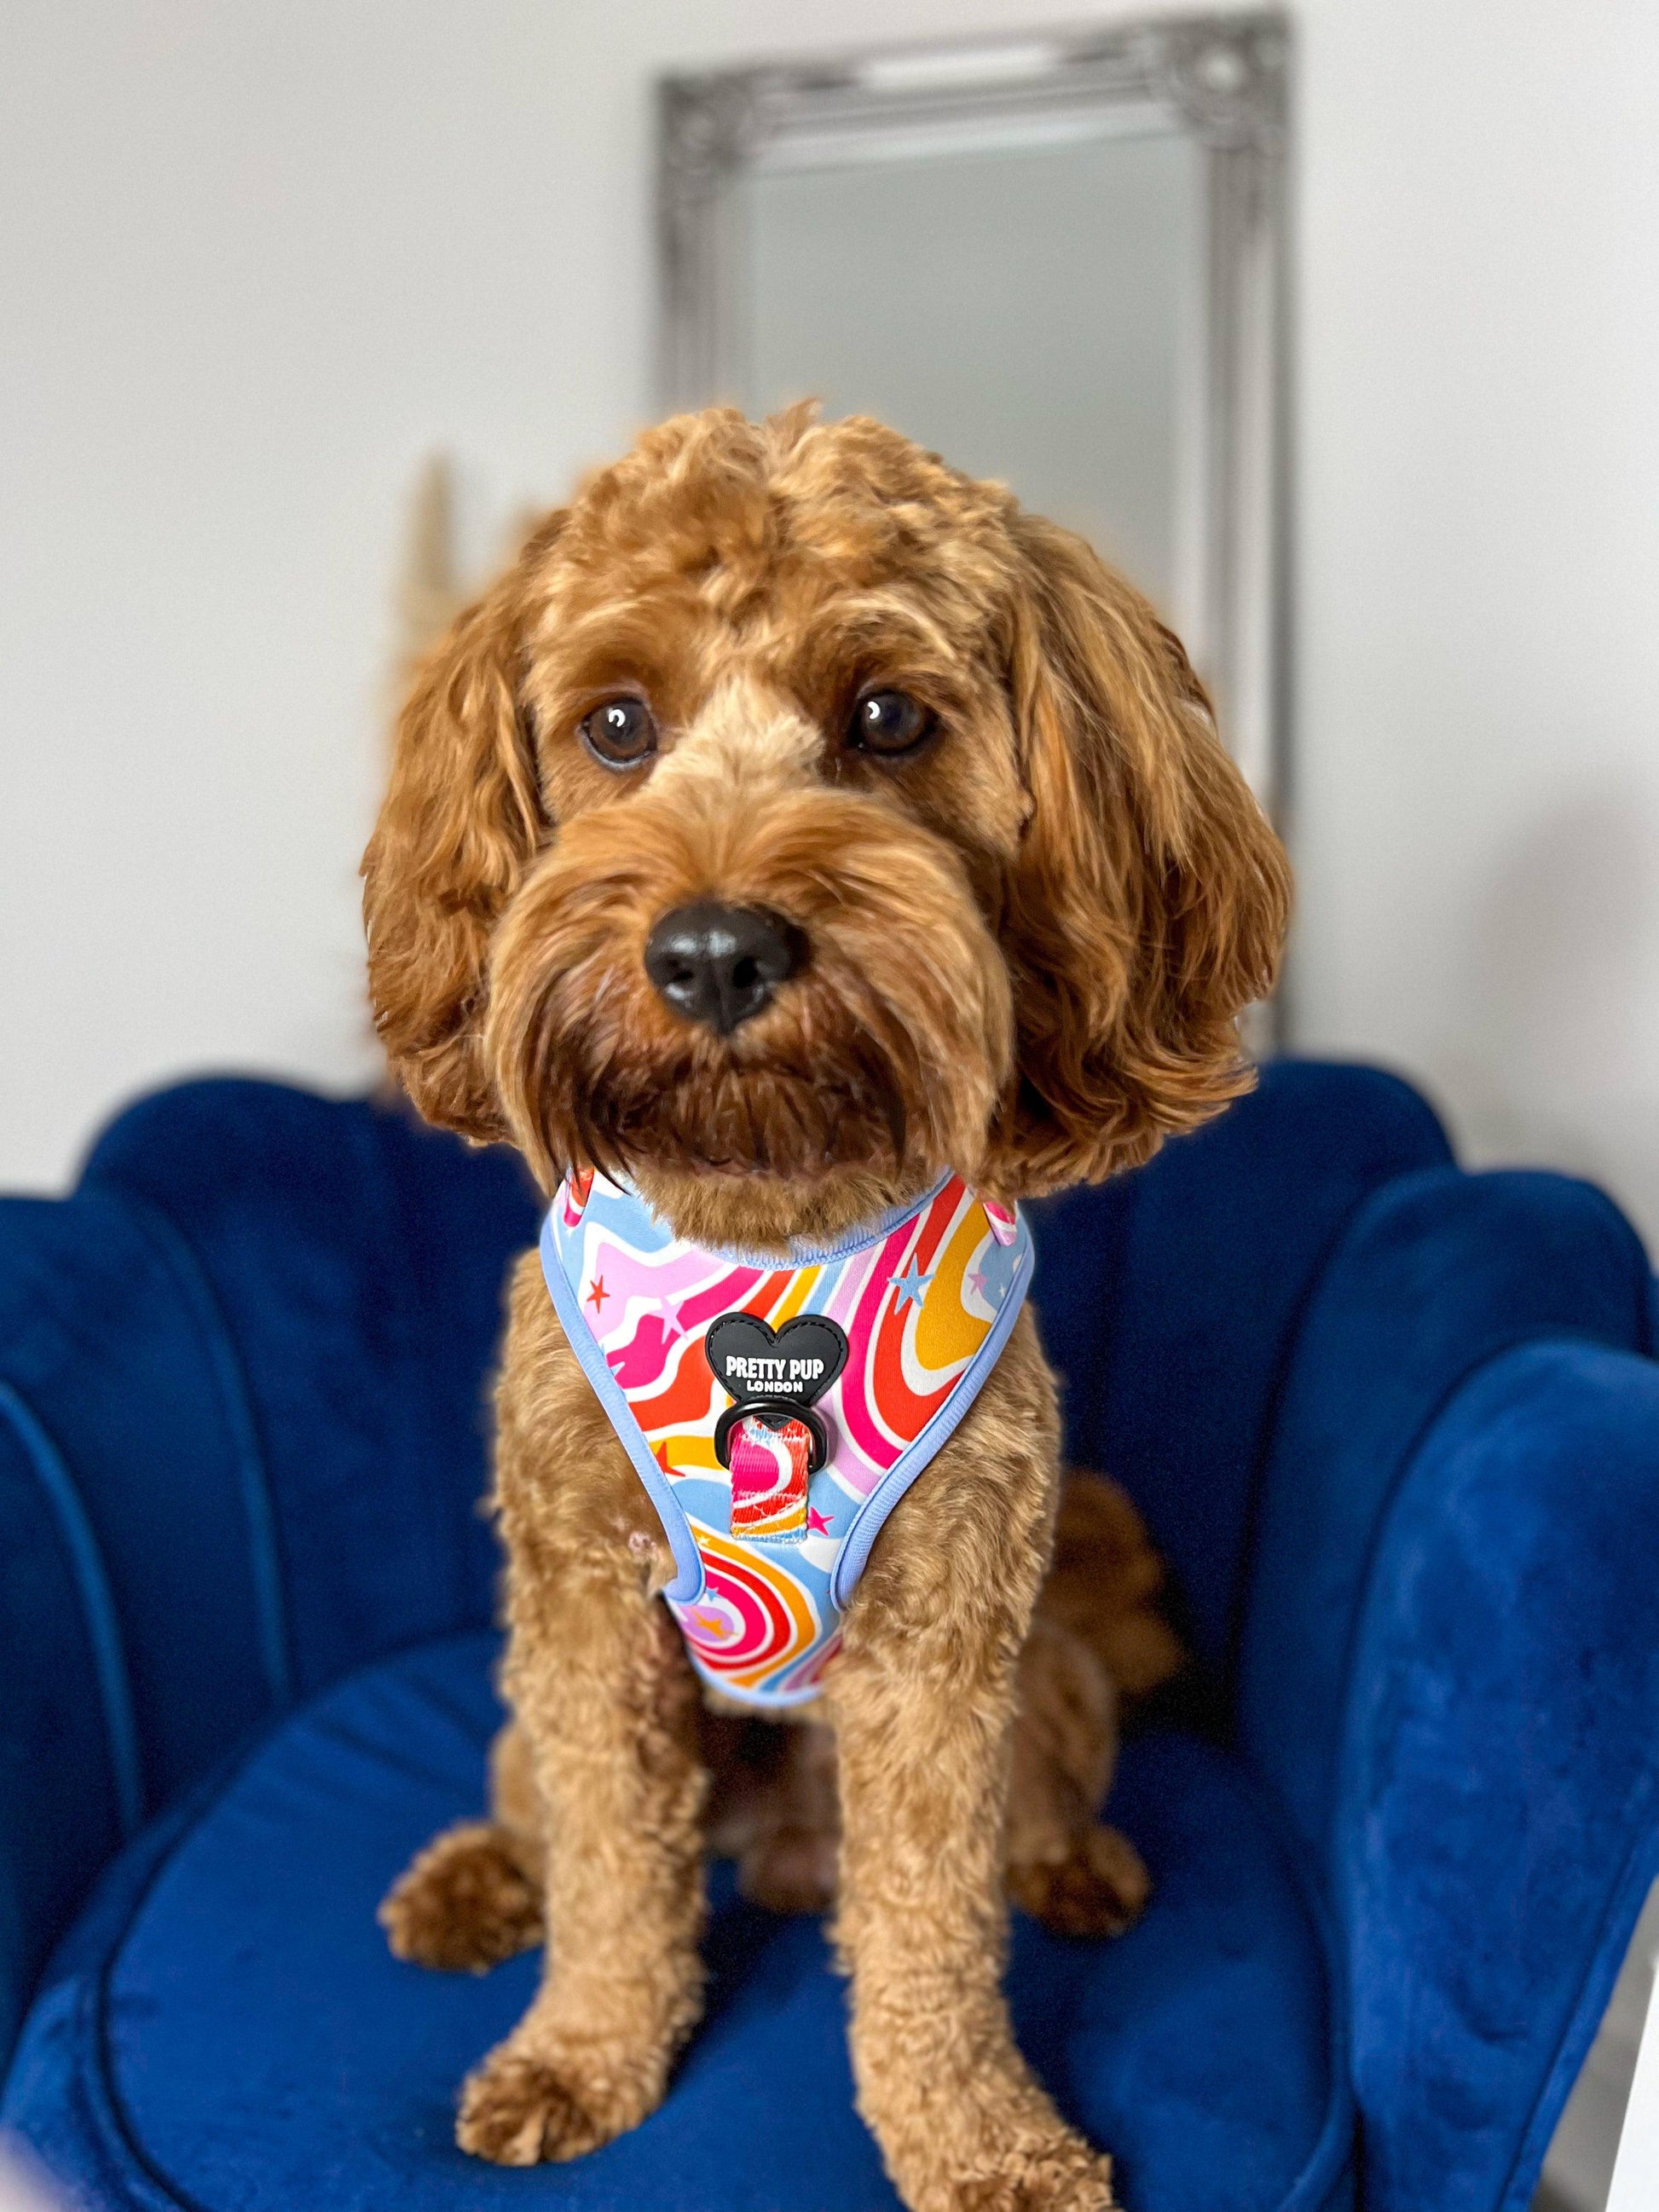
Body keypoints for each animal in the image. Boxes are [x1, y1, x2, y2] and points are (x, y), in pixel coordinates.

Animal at [367, 402, 1300, 2212]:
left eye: (886, 717)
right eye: (615, 724)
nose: (714, 951)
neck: (766, 1233)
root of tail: (789, 1853)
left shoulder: (946, 1645)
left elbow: (933, 1925)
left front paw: (978, 2139)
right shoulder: (584, 1616)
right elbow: (612, 1874)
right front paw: (581, 2053)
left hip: (1047, 1678)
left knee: (1018, 1822)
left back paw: (1076, 1870)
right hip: (539, 1699)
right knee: (540, 1813)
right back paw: (470, 1883)